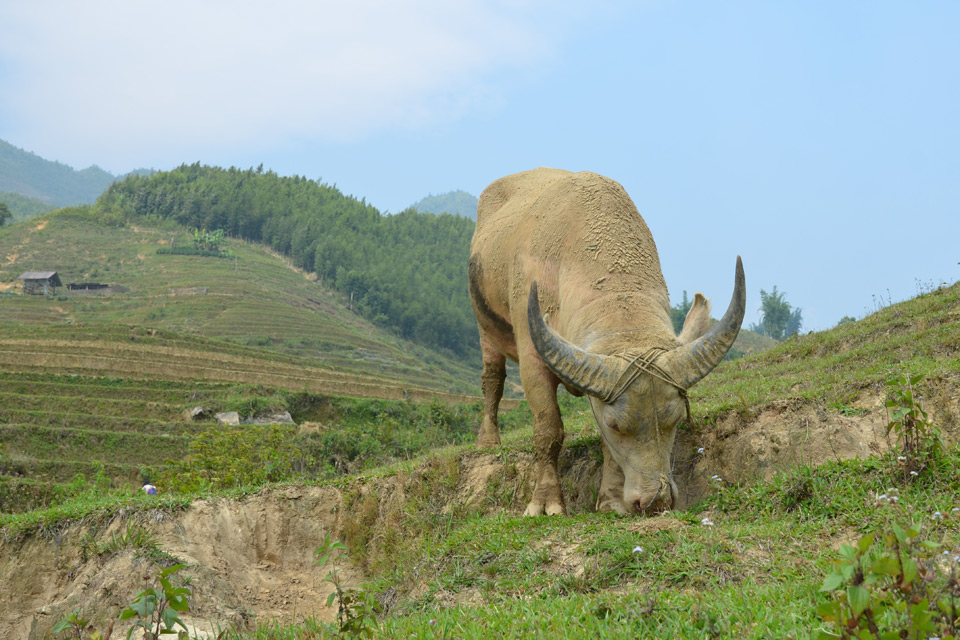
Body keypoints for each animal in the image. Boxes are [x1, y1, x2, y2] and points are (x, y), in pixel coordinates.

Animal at [464, 166, 744, 516]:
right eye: (616, 425)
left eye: (676, 419)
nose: (656, 500)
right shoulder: (532, 358)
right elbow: (548, 429)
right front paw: (545, 502)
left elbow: (606, 446)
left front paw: (611, 501)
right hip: (484, 327)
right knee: (493, 379)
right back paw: (488, 439)